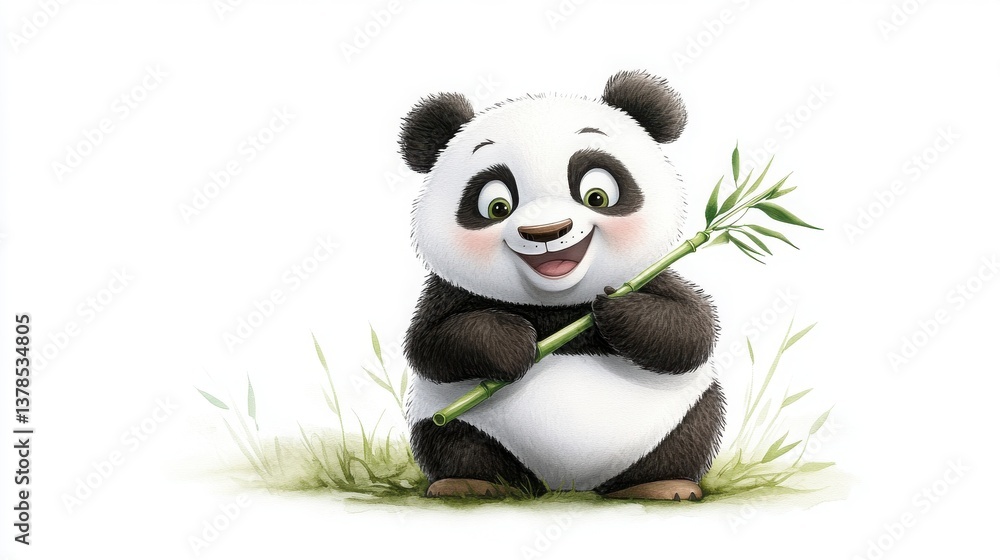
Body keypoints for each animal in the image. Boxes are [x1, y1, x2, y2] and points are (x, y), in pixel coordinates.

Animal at [399, 70, 724, 501]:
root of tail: (568, 485)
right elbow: (431, 344)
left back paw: (663, 485)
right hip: (458, 424)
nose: (546, 231)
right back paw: (469, 484)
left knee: (688, 436)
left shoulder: (654, 272)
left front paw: (616, 309)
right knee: (454, 441)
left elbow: (692, 329)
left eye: (597, 194)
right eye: (496, 206)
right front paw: (513, 343)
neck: (557, 303)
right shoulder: (447, 293)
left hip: (681, 418)